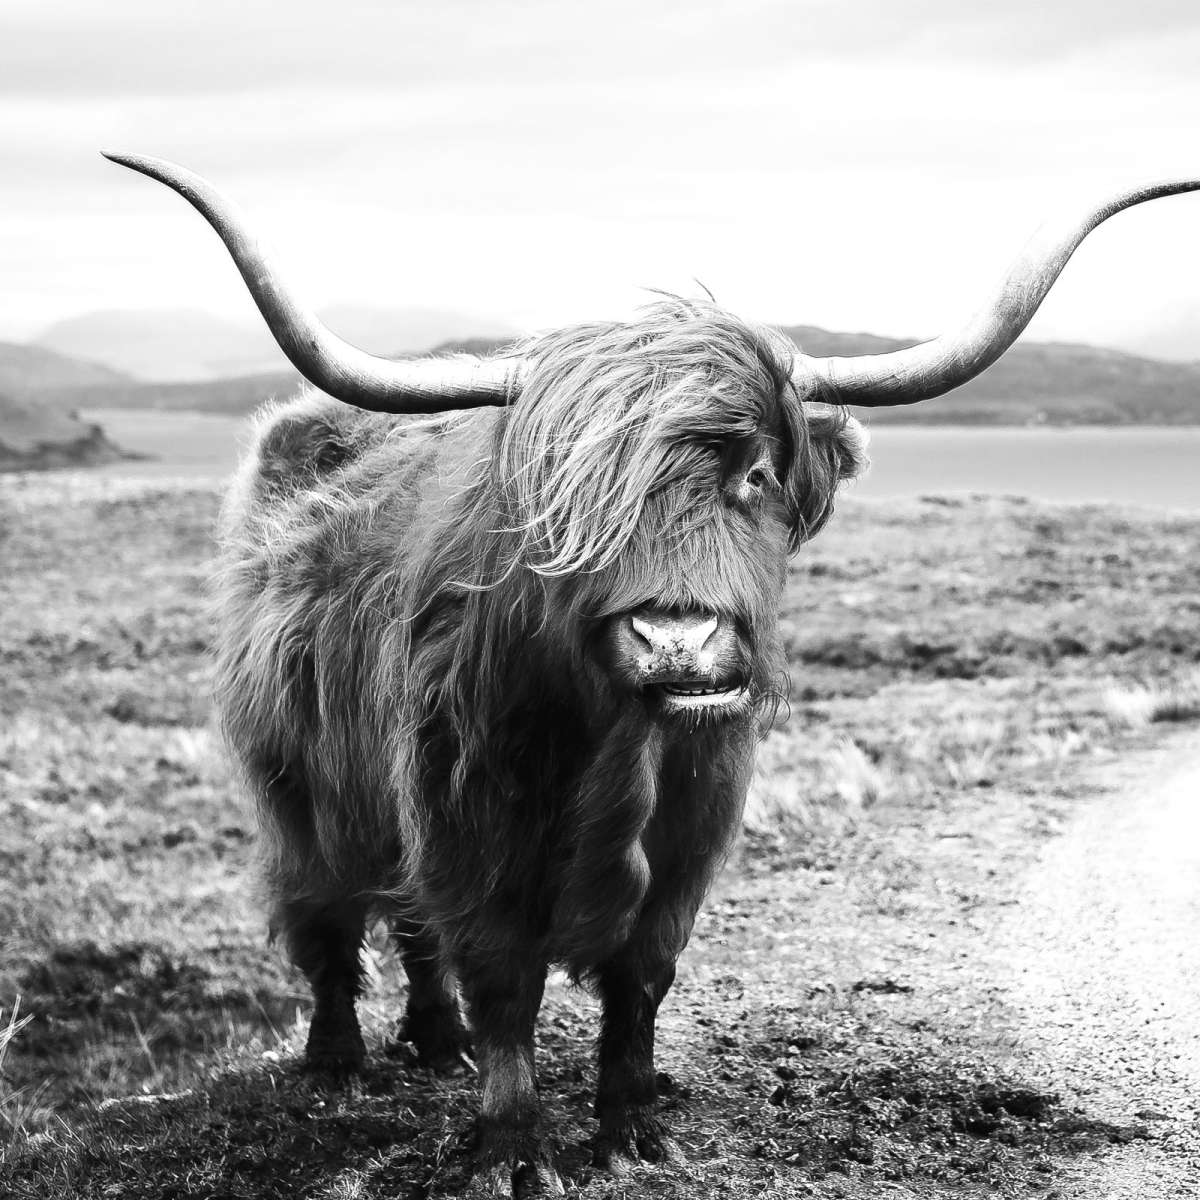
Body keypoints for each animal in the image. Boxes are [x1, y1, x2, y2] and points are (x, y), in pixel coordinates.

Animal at [105, 154, 1198, 1197]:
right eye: (566, 497)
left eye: (755, 473)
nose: (677, 640)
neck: (619, 750)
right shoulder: (467, 822)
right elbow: (503, 980)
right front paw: (512, 1150)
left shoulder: (691, 832)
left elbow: (641, 978)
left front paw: (632, 1132)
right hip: (296, 780)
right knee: (327, 917)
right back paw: (337, 1064)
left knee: (409, 927)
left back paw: (437, 1043)